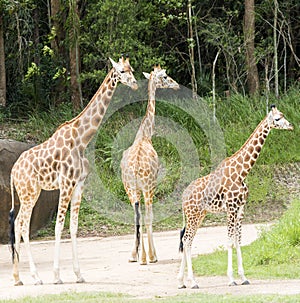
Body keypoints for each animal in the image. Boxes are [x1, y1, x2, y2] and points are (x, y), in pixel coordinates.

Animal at [9, 55, 138, 286]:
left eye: (131, 68)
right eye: (122, 71)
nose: (135, 84)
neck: (82, 140)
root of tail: (13, 172)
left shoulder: (79, 184)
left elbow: (73, 227)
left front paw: (78, 274)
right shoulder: (66, 184)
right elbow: (59, 227)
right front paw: (56, 275)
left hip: (27, 193)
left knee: (17, 224)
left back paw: (18, 278)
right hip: (29, 193)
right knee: (22, 225)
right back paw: (35, 276)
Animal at [120, 65, 179, 264]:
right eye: (166, 76)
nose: (177, 85)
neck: (145, 135)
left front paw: (135, 255)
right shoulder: (153, 184)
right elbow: (150, 216)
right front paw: (152, 255)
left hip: (130, 188)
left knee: (136, 216)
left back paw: (136, 256)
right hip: (147, 187)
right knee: (146, 215)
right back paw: (148, 257)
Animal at [178, 105, 292, 288]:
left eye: (283, 115)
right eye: (277, 119)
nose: (291, 126)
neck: (243, 172)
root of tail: (183, 196)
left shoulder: (241, 208)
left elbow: (238, 240)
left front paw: (243, 277)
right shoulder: (231, 207)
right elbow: (230, 241)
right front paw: (231, 279)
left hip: (198, 215)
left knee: (187, 240)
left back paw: (181, 282)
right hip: (193, 214)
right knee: (187, 240)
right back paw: (193, 281)